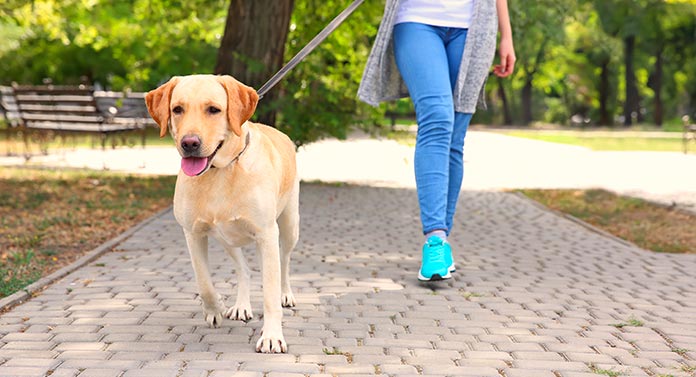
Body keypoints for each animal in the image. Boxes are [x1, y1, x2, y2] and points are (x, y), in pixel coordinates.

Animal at [145, 74, 298, 352]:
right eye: (177, 109)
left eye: (214, 109)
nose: (189, 143)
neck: (220, 171)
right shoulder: (193, 233)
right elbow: (204, 281)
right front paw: (215, 308)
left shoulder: (266, 234)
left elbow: (269, 292)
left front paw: (272, 336)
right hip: (226, 238)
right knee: (244, 269)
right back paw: (240, 306)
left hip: (289, 226)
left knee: (284, 262)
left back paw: (286, 294)